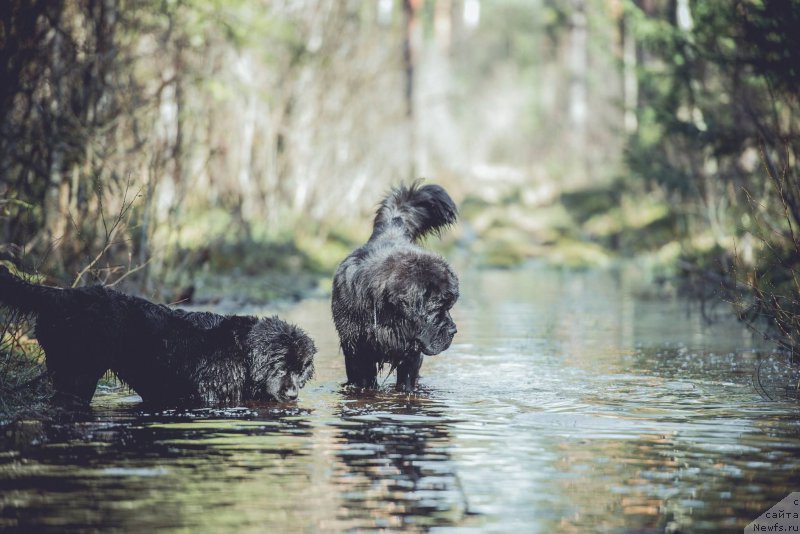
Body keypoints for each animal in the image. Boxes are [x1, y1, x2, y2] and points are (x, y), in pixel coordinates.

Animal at [0, 268, 318, 410]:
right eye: (280, 367)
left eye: (301, 370)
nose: (292, 393)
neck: (242, 354)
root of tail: (61, 295)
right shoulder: (212, 395)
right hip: (77, 374)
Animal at [330, 182, 456, 392]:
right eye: (437, 308)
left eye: (450, 306)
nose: (454, 330)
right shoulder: (356, 347)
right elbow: (363, 379)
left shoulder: (411, 348)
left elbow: (407, 378)